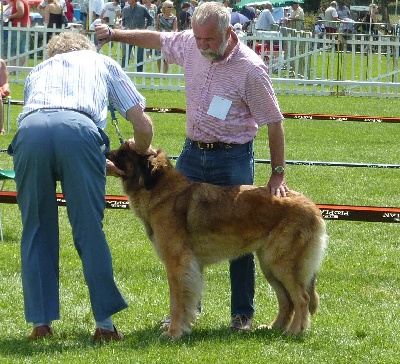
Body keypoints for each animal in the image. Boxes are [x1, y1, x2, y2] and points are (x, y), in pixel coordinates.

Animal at [107, 142, 328, 338]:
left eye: (123, 153)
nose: (105, 153)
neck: (160, 188)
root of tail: (313, 207)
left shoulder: (177, 263)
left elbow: (177, 302)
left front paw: (173, 333)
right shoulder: (190, 267)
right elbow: (188, 302)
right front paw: (184, 328)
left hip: (281, 264)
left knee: (302, 298)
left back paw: (294, 332)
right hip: (269, 264)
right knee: (286, 300)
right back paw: (274, 328)